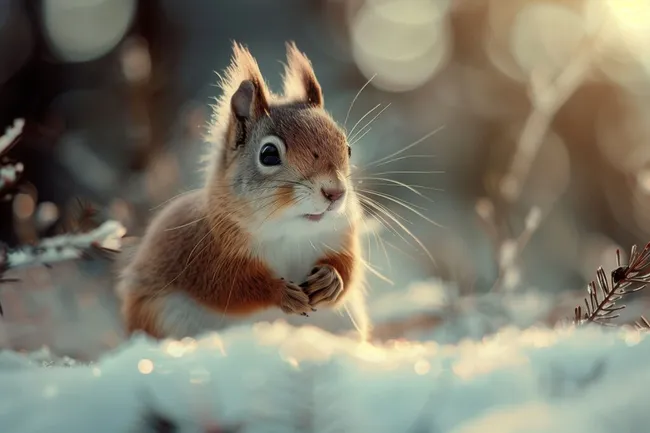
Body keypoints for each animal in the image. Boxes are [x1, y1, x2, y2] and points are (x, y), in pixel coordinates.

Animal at [116, 42, 370, 341]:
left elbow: (349, 266)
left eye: (347, 148)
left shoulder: (341, 235)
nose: (335, 192)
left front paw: (332, 280)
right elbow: (231, 288)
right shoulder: (208, 256)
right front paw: (280, 293)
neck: (289, 231)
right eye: (269, 154)